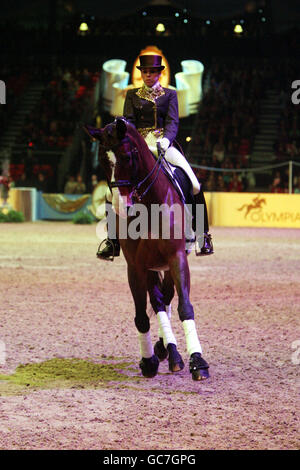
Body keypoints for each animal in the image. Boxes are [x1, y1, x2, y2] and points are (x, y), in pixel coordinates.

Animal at [84, 118, 209, 382]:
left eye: (127, 156)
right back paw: (167, 352)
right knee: (159, 301)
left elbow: (184, 307)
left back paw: (170, 351)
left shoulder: (176, 257)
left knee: (167, 298)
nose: (121, 206)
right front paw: (148, 360)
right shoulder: (136, 266)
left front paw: (198, 361)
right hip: (151, 266)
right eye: (103, 160)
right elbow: (142, 315)